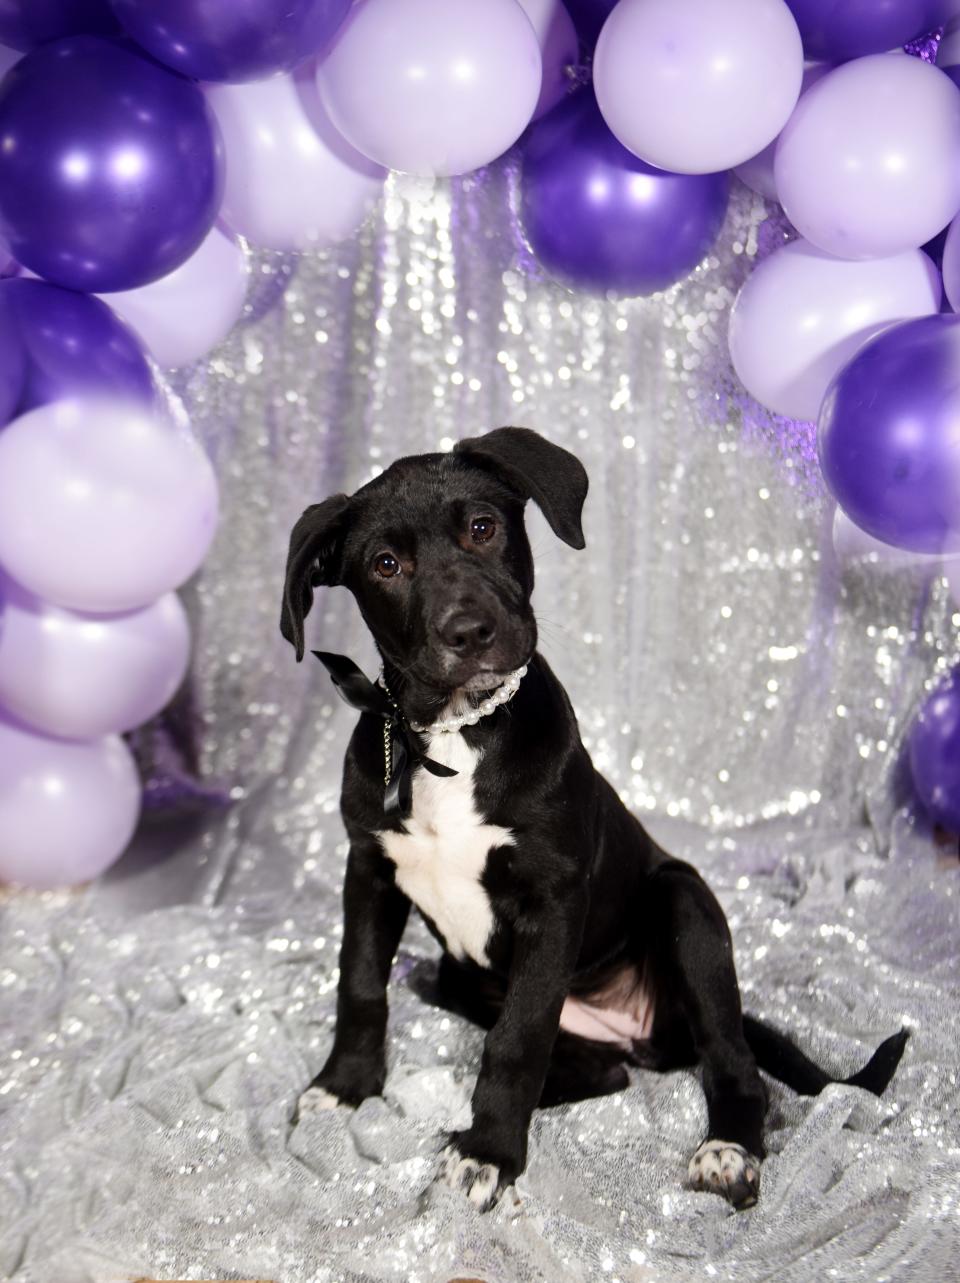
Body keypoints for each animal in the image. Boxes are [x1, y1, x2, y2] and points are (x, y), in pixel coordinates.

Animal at [279, 428, 908, 1211]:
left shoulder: (551, 901)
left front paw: (490, 1152)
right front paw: (345, 1088)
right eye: (385, 565)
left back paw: (728, 1151)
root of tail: (638, 1032)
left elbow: (516, 1039)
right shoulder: (369, 871)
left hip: (686, 907)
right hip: (460, 979)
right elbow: (360, 984)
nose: (470, 631)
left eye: (482, 528)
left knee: (731, 1061)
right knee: (600, 1071)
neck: (457, 734)